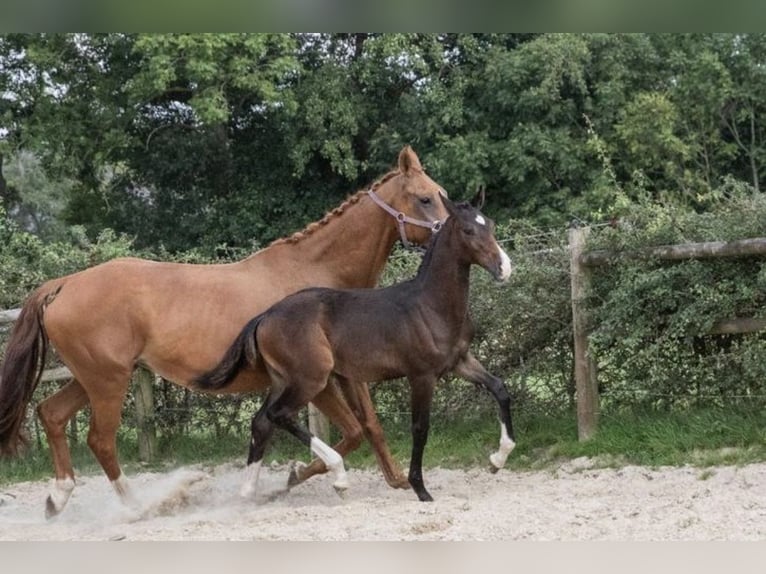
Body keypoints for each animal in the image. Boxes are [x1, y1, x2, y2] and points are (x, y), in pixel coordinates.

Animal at [0, 146, 450, 520]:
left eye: (440, 193)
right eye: (425, 198)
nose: (451, 233)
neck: (317, 274)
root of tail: (65, 284)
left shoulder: (343, 372)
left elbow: (367, 425)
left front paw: (395, 479)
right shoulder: (316, 380)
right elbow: (350, 431)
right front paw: (295, 477)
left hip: (91, 378)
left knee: (52, 414)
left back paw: (58, 499)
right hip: (108, 381)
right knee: (100, 440)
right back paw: (140, 507)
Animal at [195, 191, 516, 502]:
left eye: (490, 225)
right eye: (467, 230)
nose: (504, 268)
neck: (430, 305)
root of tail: (265, 316)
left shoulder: (460, 361)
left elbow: (499, 389)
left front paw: (497, 460)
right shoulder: (421, 375)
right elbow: (420, 428)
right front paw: (420, 489)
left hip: (284, 379)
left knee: (262, 421)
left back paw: (250, 492)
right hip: (312, 379)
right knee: (279, 415)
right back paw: (338, 477)